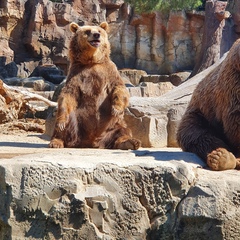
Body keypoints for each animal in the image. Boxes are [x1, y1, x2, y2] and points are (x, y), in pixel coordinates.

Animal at [50, 22, 141, 150]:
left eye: (99, 30)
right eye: (87, 31)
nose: (96, 35)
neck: (92, 61)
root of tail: (92, 142)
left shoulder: (109, 70)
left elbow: (119, 88)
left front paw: (116, 109)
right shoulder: (76, 74)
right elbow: (68, 95)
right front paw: (61, 123)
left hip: (112, 125)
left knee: (123, 131)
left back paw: (130, 142)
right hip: (78, 123)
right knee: (67, 121)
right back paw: (56, 142)